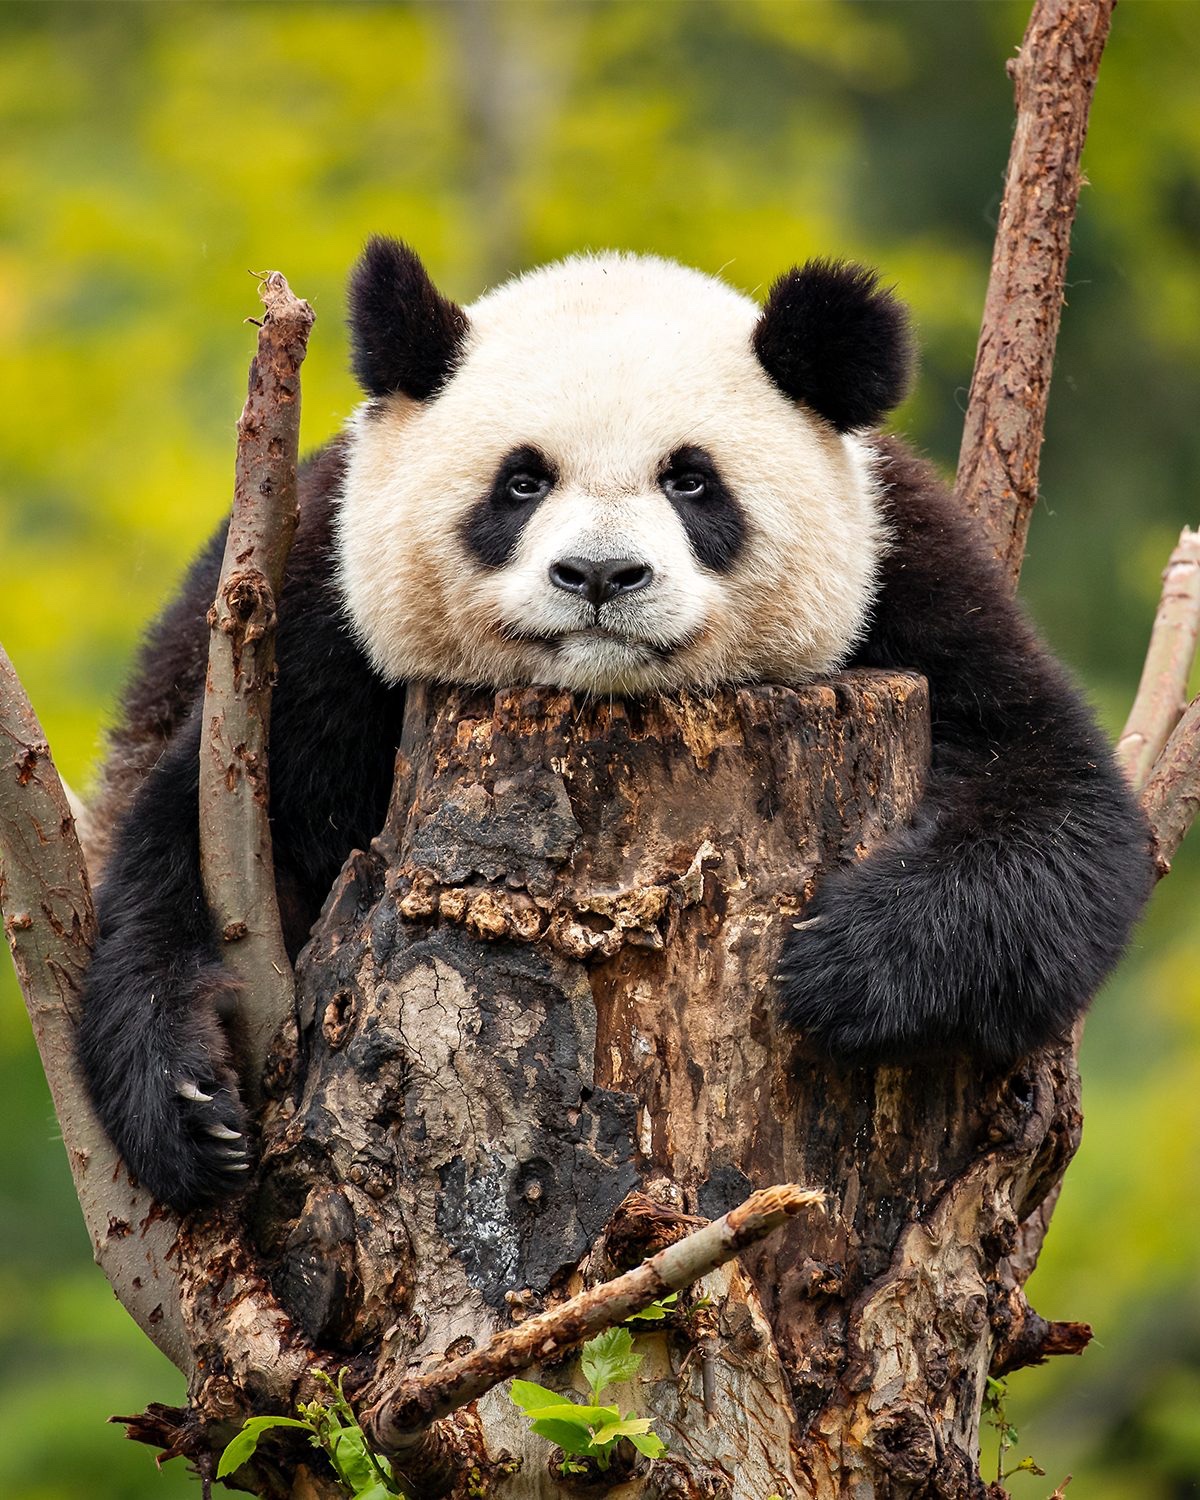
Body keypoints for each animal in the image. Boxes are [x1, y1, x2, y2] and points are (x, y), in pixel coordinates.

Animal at [78, 238, 1152, 1213]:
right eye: (521, 481)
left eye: (690, 480)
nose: (600, 576)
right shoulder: (312, 627)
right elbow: (194, 843)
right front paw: (190, 1108)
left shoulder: (909, 580)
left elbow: (1056, 800)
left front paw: (841, 966)